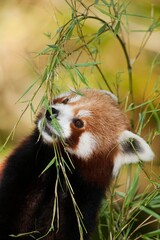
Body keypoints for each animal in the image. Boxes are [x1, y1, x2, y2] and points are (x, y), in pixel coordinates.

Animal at [0, 89, 154, 239]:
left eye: (79, 122)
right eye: (66, 100)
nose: (52, 112)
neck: (57, 172)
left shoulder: (82, 203)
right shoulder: (21, 171)